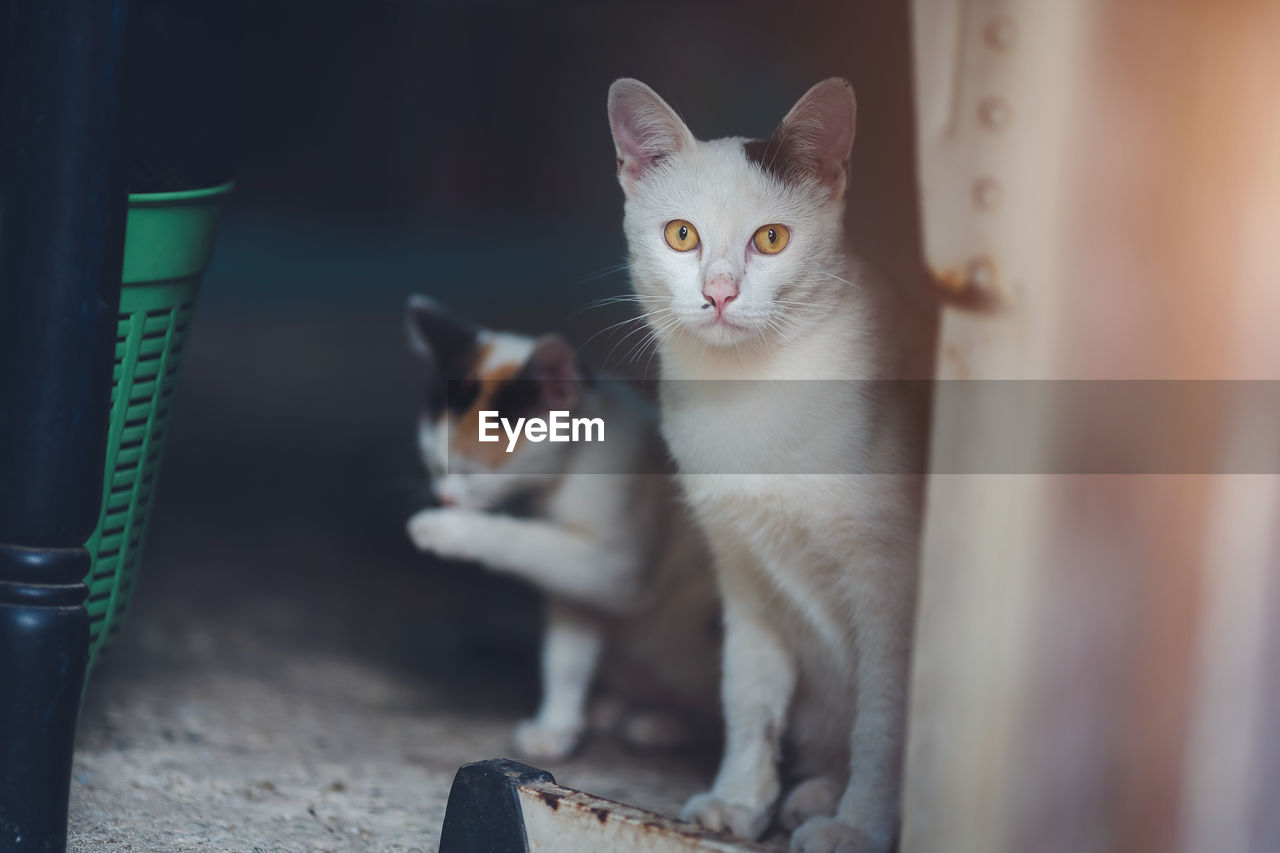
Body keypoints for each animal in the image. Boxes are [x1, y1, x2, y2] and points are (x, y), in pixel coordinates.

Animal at [401, 297, 721, 758]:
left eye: (470, 474)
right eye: (431, 464)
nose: (443, 498)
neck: (572, 469)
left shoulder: (618, 568)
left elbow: (526, 540)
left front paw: (445, 529)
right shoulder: (579, 582)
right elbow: (566, 654)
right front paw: (556, 726)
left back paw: (664, 723)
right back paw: (616, 707)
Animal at [606, 79, 921, 850]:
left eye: (771, 239)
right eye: (681, 235)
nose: (719, 292)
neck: (751, 395)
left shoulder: (890, 582)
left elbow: (884, 718)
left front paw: (860, 825)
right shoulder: (743, 572)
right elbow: (749, 697)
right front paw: (739, 799)